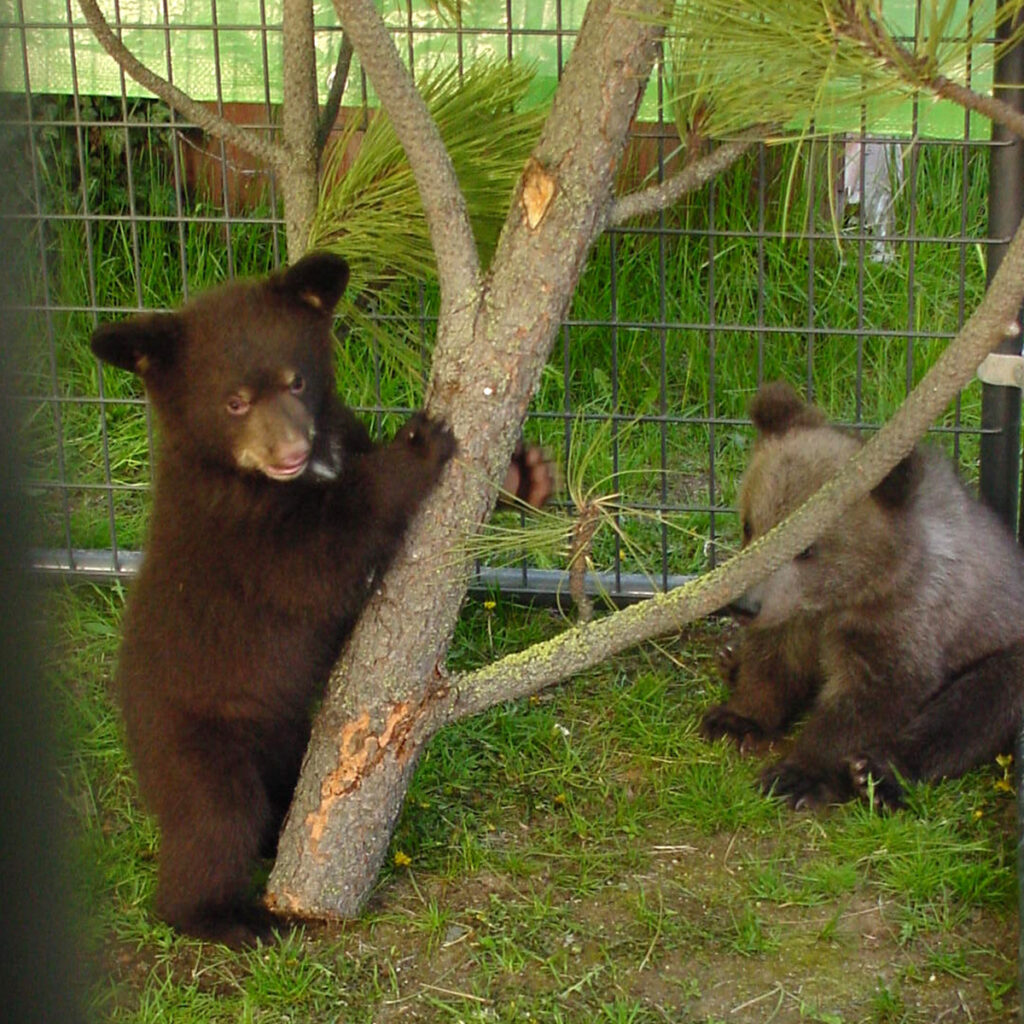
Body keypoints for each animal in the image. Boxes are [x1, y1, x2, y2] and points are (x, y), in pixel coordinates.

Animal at [89, 252, 462, 946]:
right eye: (233, 402)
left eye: (296, 382)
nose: (289, 450)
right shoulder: (245, 533)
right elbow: (321, 556)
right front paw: (418, 445)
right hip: (195, 745)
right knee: (213, 825)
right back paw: (236, 917)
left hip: (286, 733)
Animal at [701, 380, 1024, 811]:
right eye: (750, 525)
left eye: (807, 548)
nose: (744, 605)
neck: (837, 597)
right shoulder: (795, 615)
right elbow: (772, 661)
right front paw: (735, 719)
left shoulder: (904, 623)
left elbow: (867, 703)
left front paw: (798, 775)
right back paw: (730, 661)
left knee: (977, 705)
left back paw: (879, 773)